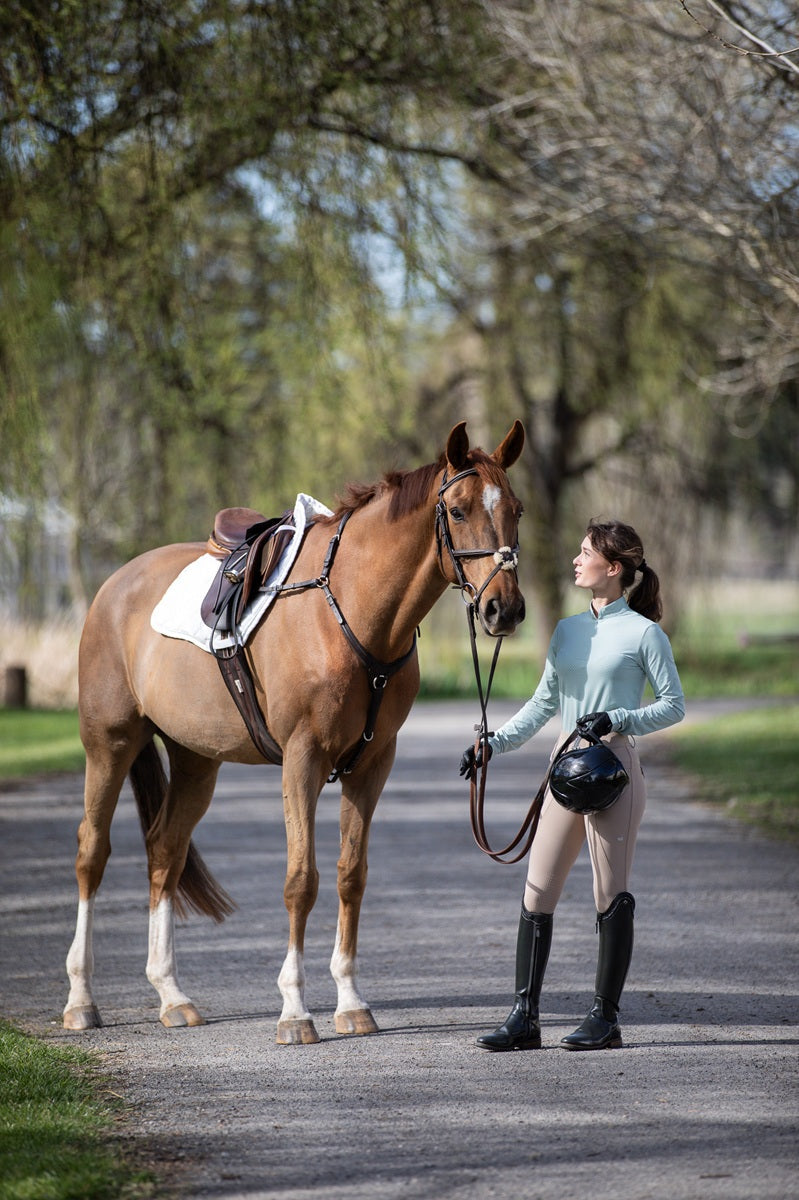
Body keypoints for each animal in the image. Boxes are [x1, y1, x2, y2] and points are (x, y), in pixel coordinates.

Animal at [63, 420, 526, 1044]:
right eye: (456, 510)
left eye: (517, 510)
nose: (505, 609)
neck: (351, 610)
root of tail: (116, 585)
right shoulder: (302, 759)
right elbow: (300, 880)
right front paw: (294, 1010)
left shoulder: (372, 765)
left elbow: (350, 875)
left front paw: (351, 1002)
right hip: (109, 743)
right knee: (92, 852)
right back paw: (81, 1000)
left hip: (195, 760)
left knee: (165, 849)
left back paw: (172, 995)